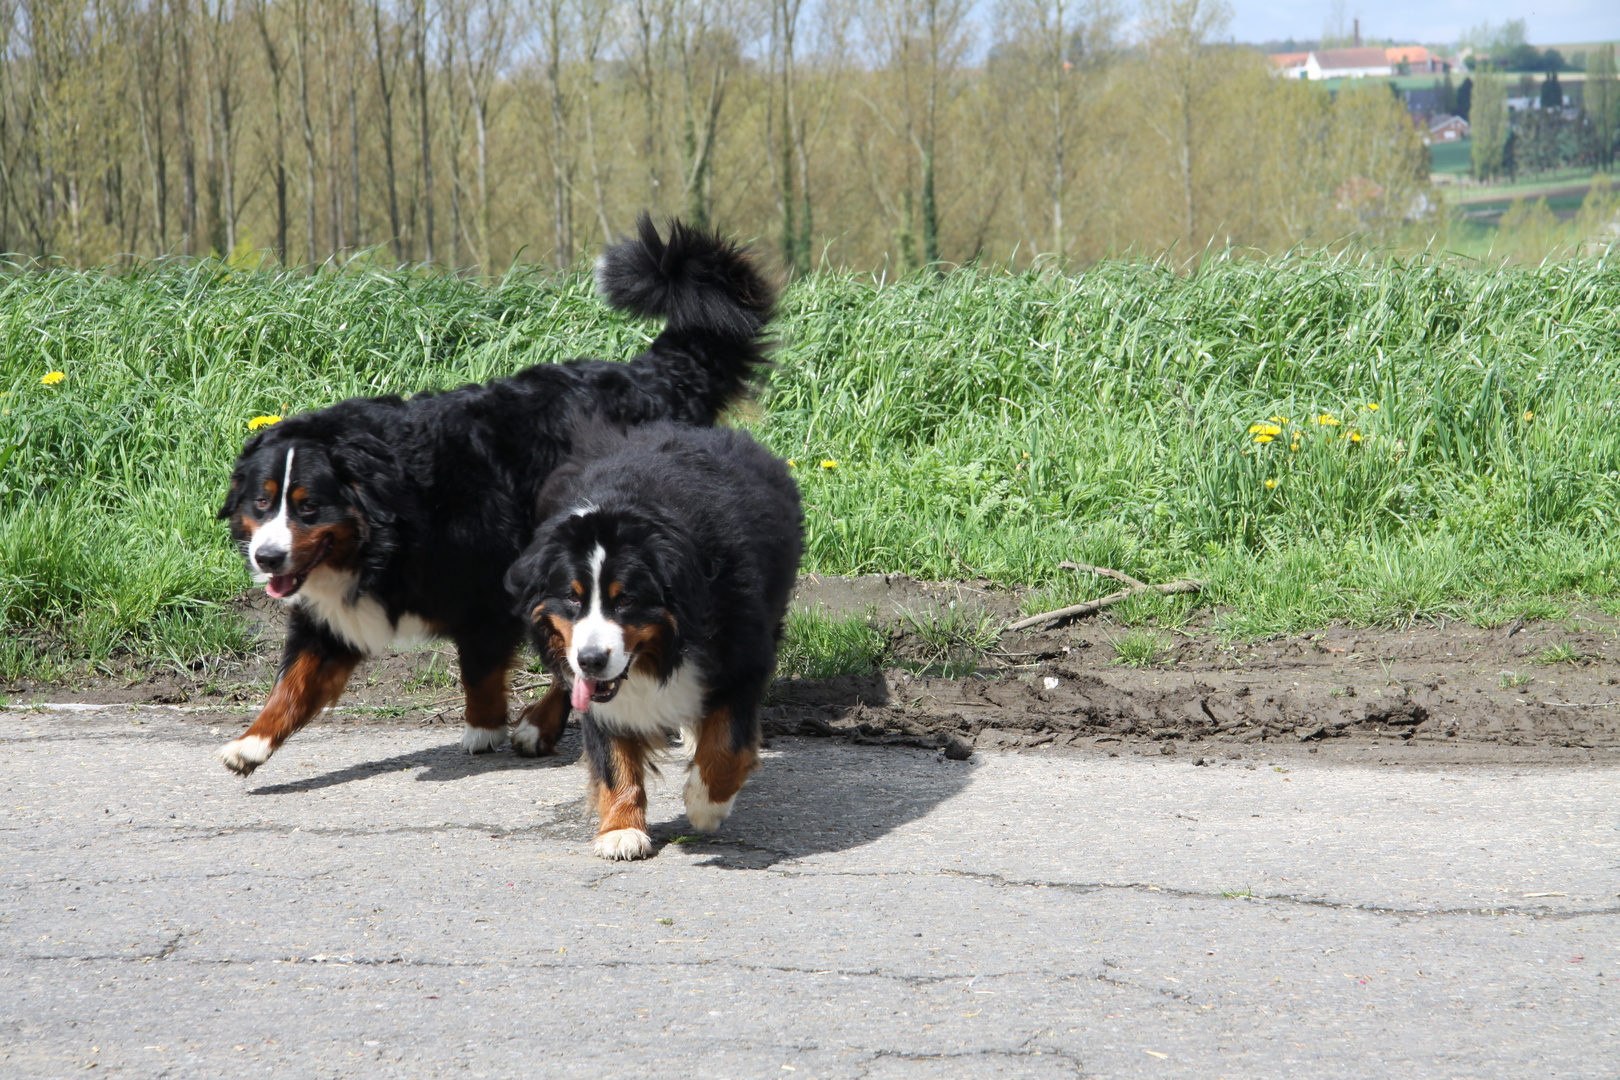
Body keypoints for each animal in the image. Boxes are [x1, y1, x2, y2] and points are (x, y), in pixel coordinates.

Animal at [213, 216, 777, 777]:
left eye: (309, 505)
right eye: (262, 503)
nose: (267, 557)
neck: (391, 517)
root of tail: (653, 374)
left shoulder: (486, 587)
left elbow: (481, 670)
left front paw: (482, 730)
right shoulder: (334, 615)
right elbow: (297, 678)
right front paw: (252, 742)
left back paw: (544, 725)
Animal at [505, 420, 803, 861]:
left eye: (626, 599)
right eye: (573, 597)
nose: (592, 659)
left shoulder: (744, 653)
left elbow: (727, 744)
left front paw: (705, 804)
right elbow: (613, 757)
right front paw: (621, 829)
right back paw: (536, 725)